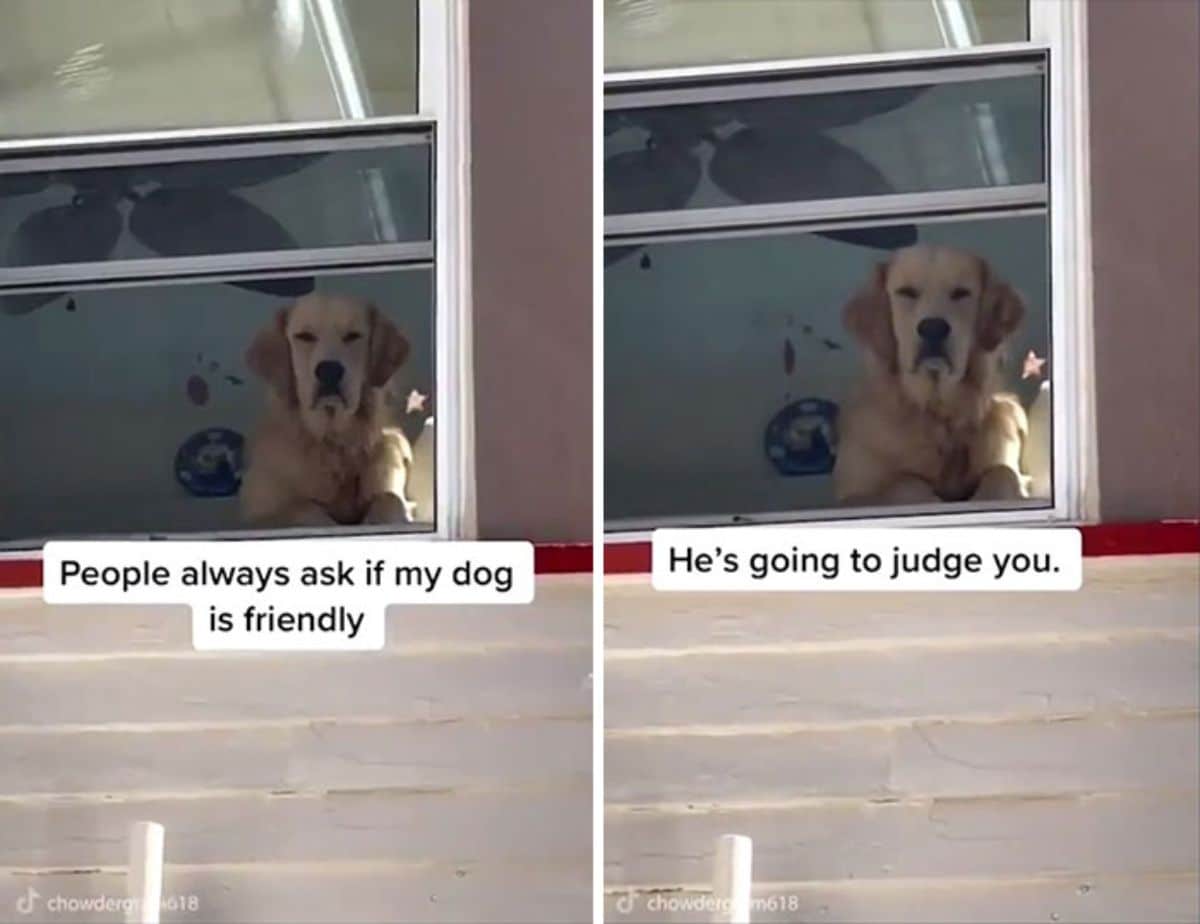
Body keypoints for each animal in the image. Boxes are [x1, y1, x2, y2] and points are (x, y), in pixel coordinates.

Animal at [238, 295, 417, 525]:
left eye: (353, 336)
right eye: (304, 337)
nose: (329, 370)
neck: (333, 442)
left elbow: (389, 498)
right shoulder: (258, 512)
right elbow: (305, 509)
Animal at [835, 244, 1032, 504]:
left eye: (961, 293)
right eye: (906, 292)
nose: (933, 328)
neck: (937, 413)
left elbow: (1002, 473)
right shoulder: (852, 495)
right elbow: (906, 482)